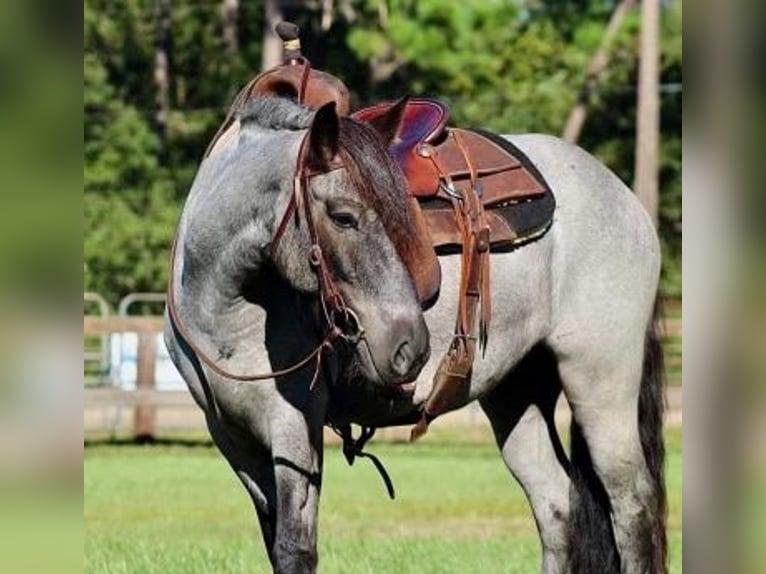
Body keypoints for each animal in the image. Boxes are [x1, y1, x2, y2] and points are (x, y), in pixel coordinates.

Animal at [166, 97, 664, 572]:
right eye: (343, 217)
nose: (411, 346)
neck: (226, 307)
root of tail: (626, 200)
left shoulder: (293, 425)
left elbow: (294, 548)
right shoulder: (233, 438)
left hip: (600, 387)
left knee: (633, 508)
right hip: (515, 393)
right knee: (555, 505)